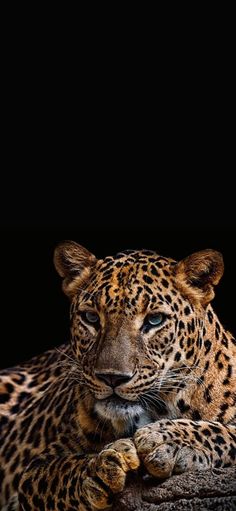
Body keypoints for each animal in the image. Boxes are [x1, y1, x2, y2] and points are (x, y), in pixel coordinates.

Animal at [0, 241, 235, 511]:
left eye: (155, 320)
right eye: (91, 318)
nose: (112, 378)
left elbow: (222, 432)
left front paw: (168, 440)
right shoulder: (34, 470)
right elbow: (62, 470)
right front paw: (98, 470)